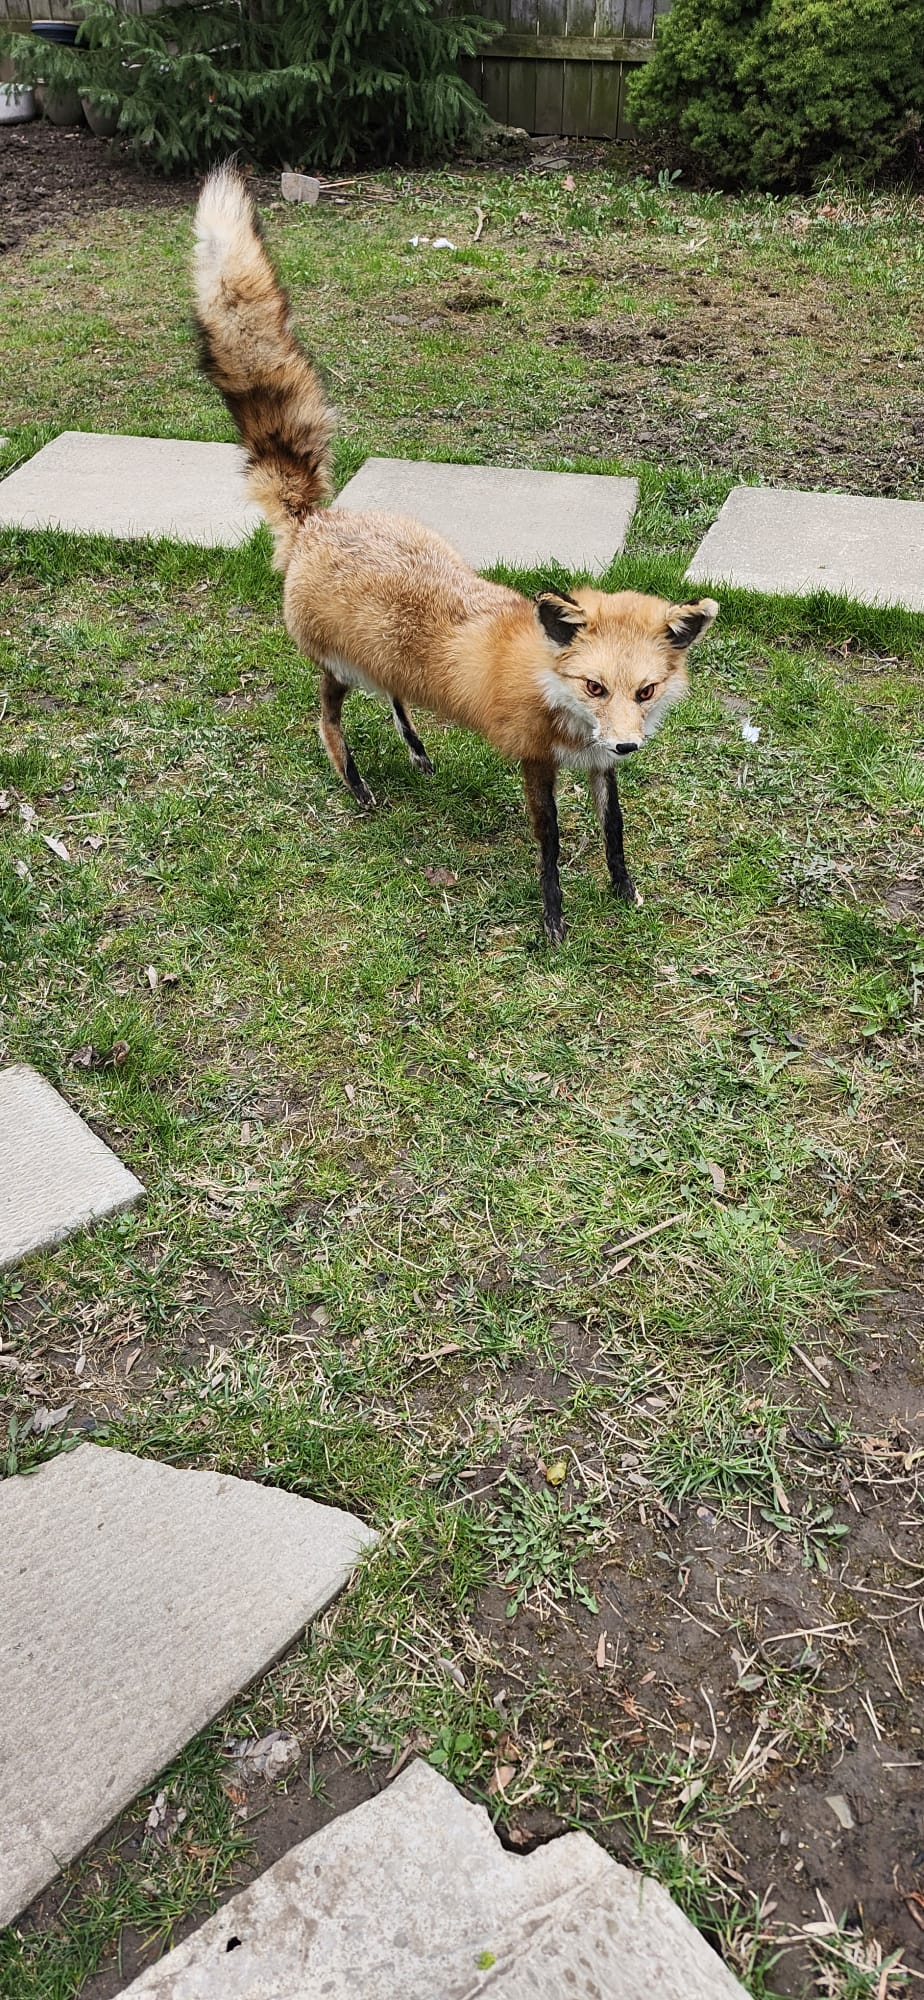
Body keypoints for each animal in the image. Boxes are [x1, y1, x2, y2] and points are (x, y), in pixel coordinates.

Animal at [193, 165, 718, 943]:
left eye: (645, 691)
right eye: (594, 686)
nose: (629, 743)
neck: (550, 688)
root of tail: (319, 520)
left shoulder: (596, 766)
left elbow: (615, 830)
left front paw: (624, 891)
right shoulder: (536, 762)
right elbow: (551, 845)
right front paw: (555, 921)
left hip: (383, 656)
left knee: (396, 697)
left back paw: (415, 751)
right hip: (337, 667)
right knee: (327, 718)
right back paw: (356, 784)